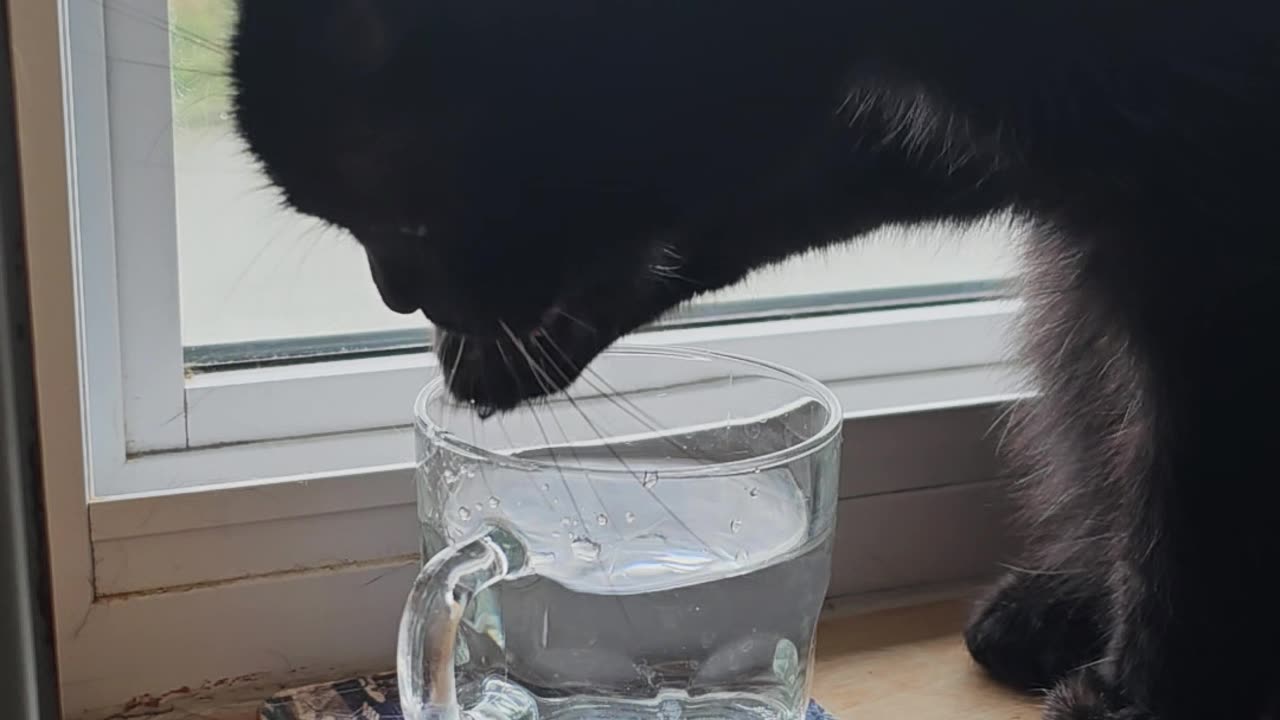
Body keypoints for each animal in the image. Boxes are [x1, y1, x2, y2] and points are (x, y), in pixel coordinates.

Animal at [227, 2, 1280, 712]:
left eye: (406, 218)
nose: (395, 296)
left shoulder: (1213, 230)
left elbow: (1196, 518)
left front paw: (1159, 693)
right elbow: (762, 203)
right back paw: (1052, 609)